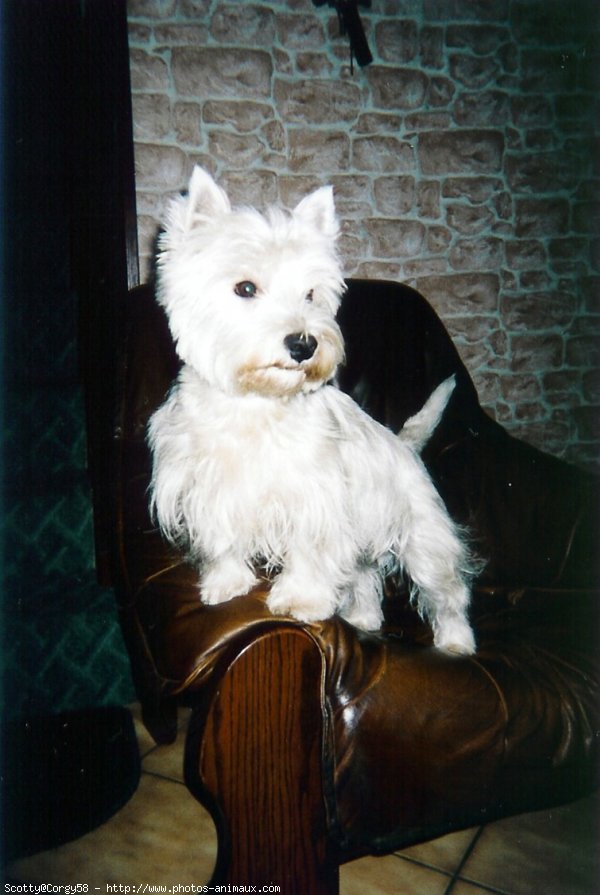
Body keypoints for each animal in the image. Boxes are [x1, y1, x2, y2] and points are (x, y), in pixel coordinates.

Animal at [149, 168, 478, 656]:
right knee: (364, 578)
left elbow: (309, 551)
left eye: (310, 294)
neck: (256, 404)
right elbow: (222, 540)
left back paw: (456, 643)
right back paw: (362, 619)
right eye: (245, 288)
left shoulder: (316, 498)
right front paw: (225, 585)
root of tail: (404, 445)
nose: (304, 344)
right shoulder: (207, 488)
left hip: (423, 536)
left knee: (446, 590)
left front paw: (300, 600)